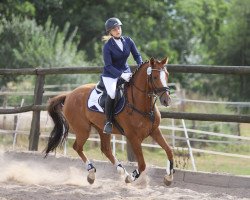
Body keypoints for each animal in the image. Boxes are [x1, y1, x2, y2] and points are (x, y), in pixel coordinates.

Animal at [44, 57, 174, 186]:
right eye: (155, 77)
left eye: (167, 75)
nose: (167, 100)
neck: (143, 106)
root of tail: (69, 95)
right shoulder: (133, 137)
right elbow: (142, 164)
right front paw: (130, 178)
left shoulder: (154, 131)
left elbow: (169, 150)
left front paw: (169, 177)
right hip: (83, 130)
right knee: (78, 147)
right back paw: (92, 173)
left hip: (102, 129)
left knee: (106, 149)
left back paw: (121, 171)